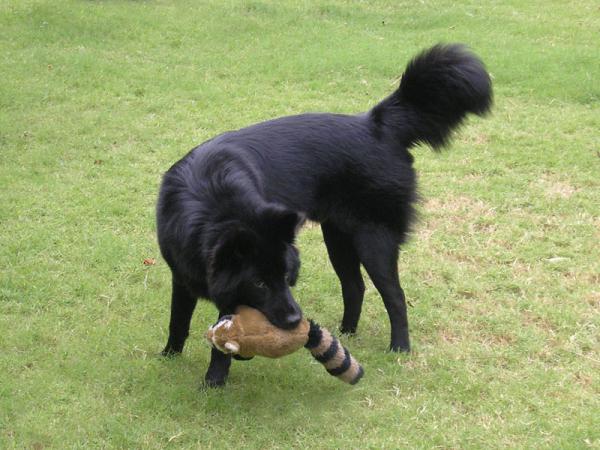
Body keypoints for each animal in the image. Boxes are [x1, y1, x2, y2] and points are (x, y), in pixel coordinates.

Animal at [156, 44, 492, 384]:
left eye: (287, 278)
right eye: (260, 283)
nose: (296, 320)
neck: (211, 199)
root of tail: (378, 125)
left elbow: (222, 341)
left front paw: (213, 381)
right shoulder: (182, 274)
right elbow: (177, 319)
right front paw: (169, 356)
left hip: (374, 239)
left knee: (395, 296)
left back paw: (399, 348)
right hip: (338, 236)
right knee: (354, 286)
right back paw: (346, 333)